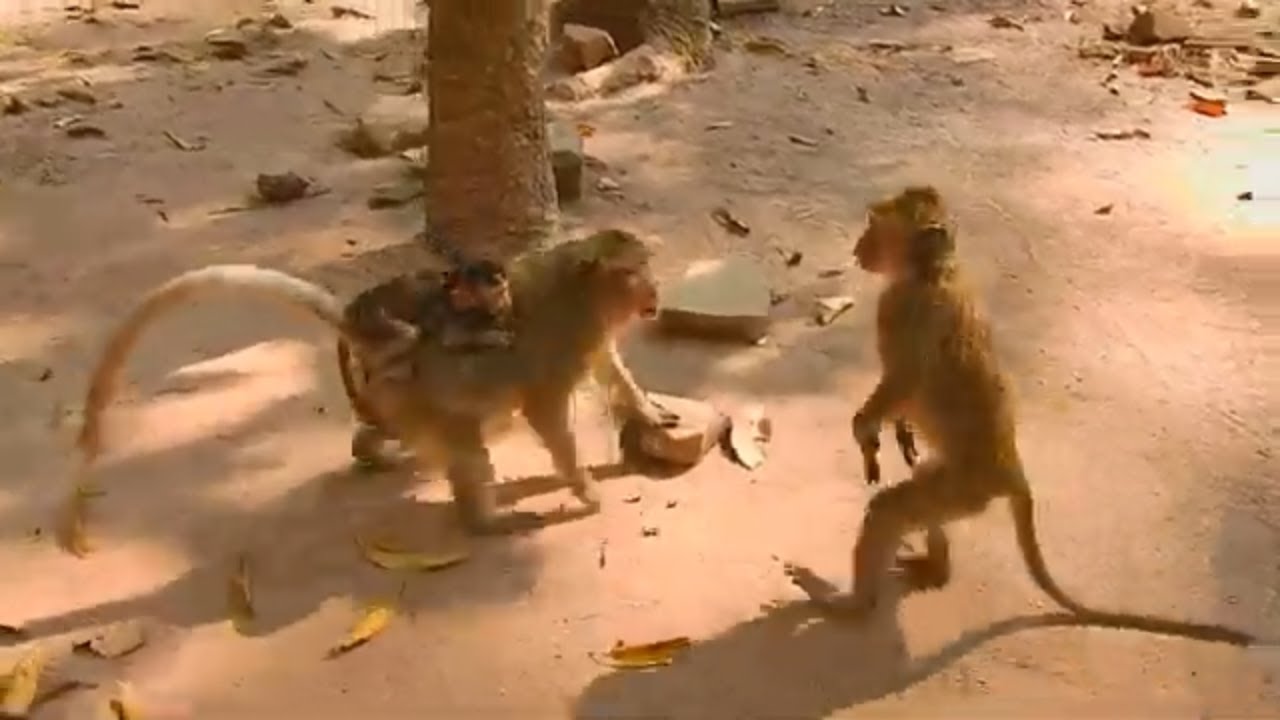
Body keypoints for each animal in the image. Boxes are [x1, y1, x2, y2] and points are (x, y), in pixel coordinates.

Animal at [76, 229, 676, 536]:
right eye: (636, 271)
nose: (655, 292)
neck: (583, 289)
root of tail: (358, 327)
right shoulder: (560, 339)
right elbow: (546, 412)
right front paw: (584, 487)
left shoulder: (586, 333)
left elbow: (610, 371)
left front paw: (648, 413)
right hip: (409, 389)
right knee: (466, 441)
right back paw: (481, 520)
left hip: (391, 391)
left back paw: (376, 448)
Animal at [783, 185, 1262, 646]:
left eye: (875, 227)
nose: (858, 248)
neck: (933, 270)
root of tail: (1009, 464)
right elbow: (901, 396)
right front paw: (898, 428)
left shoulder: (904, 307)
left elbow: (903, 379)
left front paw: (865, 427)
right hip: (963, 489)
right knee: (919, 487)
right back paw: (935, 568)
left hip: (965, 489)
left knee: (889, 509)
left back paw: (849, 604)